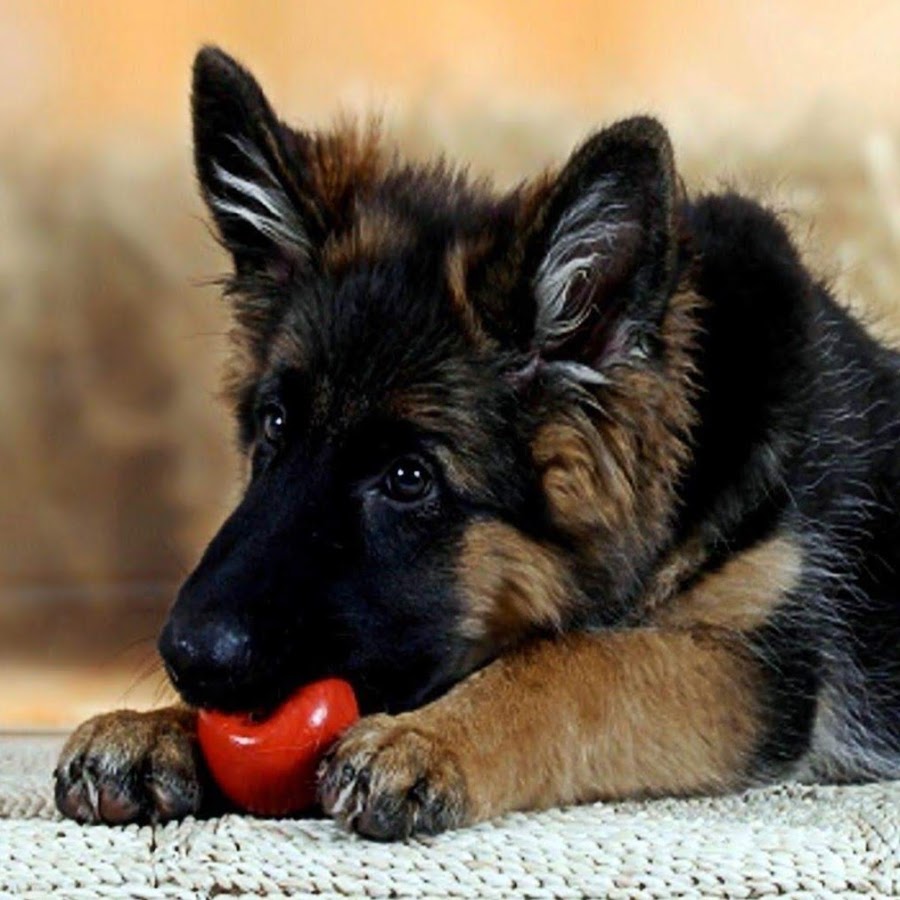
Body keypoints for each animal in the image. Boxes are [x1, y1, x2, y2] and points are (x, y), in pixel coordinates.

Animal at [54, 46, 900, 840]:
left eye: (408, 477)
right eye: (276, 426)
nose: (186, 658)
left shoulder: (757, 664)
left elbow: (587, 662)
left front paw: (430, 739)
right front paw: (153, 729)